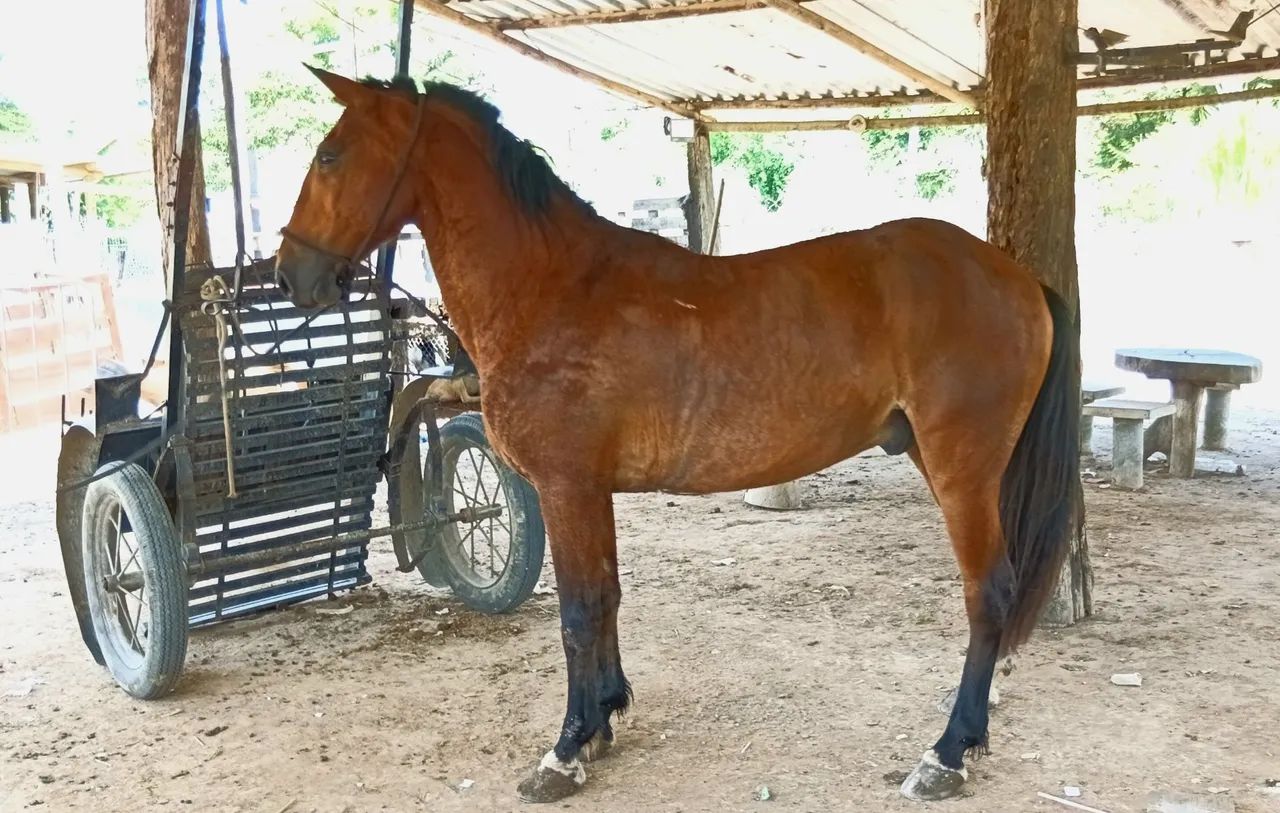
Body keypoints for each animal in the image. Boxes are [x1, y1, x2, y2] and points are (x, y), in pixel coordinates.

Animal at [274, 68, 1081, 804]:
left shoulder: (565, 485)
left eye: (331, 156)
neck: (553, 287)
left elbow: (576, 610)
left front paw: (565, 751)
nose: (289, 276)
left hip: (960, 469)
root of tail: (1016, 278)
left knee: (989, 592)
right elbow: (603, 595)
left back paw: (946, 753)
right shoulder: (589, 491)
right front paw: (602, 722)